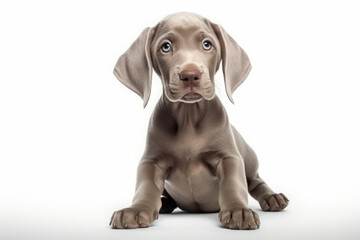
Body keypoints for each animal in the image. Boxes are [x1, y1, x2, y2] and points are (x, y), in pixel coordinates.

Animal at [109, 12, 290, 230]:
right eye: (166, 47)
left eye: (207, 44)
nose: (190, 75)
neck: (188, 117)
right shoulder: (151, 161)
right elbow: (145, 186)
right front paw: (136, 210)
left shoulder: (229, 157)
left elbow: (233, 183)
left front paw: (238, 210)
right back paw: (164, 203)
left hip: (249, 160)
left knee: (255, 182)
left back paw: (273, 197)